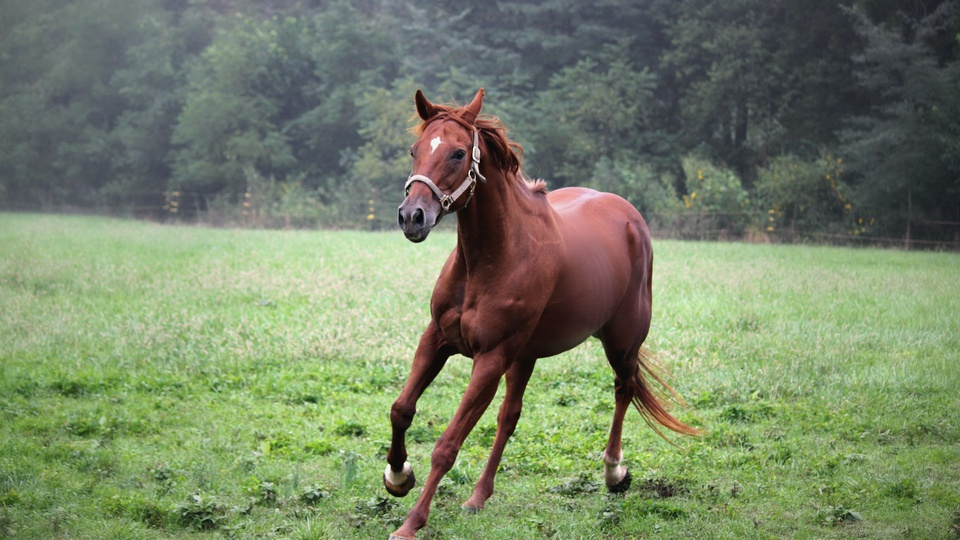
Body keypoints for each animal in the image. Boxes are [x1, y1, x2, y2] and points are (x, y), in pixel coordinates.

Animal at [386, 88, 698, 540]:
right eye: (415, 150)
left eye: (458, 153)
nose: (412, 217)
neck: (491, 256)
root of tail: (629, 216)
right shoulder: (437, 339)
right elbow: (402, 409)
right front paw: (397, 476)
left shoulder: (491, 358)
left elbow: (447, 445)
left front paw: (411, 522)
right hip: (526, 356)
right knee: (509, 417)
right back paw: (478, 497)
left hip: (620, 343)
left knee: (623, 390)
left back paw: (614, 472)